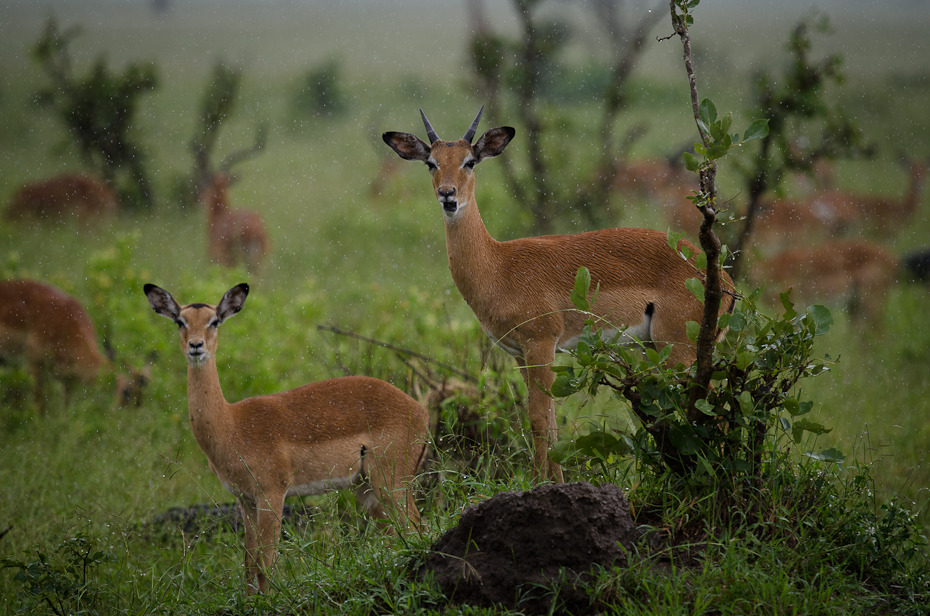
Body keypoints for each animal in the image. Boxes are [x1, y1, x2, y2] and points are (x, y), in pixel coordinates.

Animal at [143, 282, 430, 592]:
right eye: (180, 321)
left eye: (214, 321)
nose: (196, 346)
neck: (232, 425)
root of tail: (421, 410)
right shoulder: (245, 501)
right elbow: (248, 563)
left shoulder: (272, 494)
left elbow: (265, 563)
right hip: (365, 490)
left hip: (391, 483)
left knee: (417, 529)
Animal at [380, 108, 736, 484]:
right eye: (431, 163)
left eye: (470, 161)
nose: (448, 196)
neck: (499, 266)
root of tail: (724, 279)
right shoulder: (520, 354)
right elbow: (549, 423)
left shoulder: (541, 343)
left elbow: (538, 421)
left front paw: (541, 485)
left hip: (679, 351)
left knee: (716, 408)